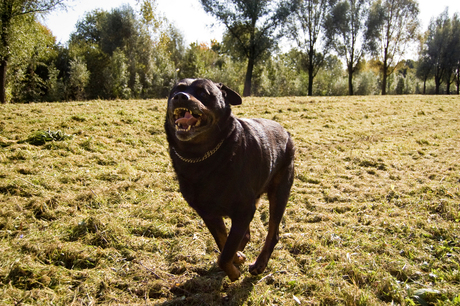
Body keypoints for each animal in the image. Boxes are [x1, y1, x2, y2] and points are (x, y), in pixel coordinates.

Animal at [165, 79, 294, 282]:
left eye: (203, 93)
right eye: (176, 90)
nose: (180, 97)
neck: (202, 157)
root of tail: (285, 131)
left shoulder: (243, 210)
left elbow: (225, 254)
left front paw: (233, 272)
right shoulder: (208, 213)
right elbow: (223, 241)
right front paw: (237, 258)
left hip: (280, 191)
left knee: (273, 233)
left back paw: (259, 264)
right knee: (246, 235)